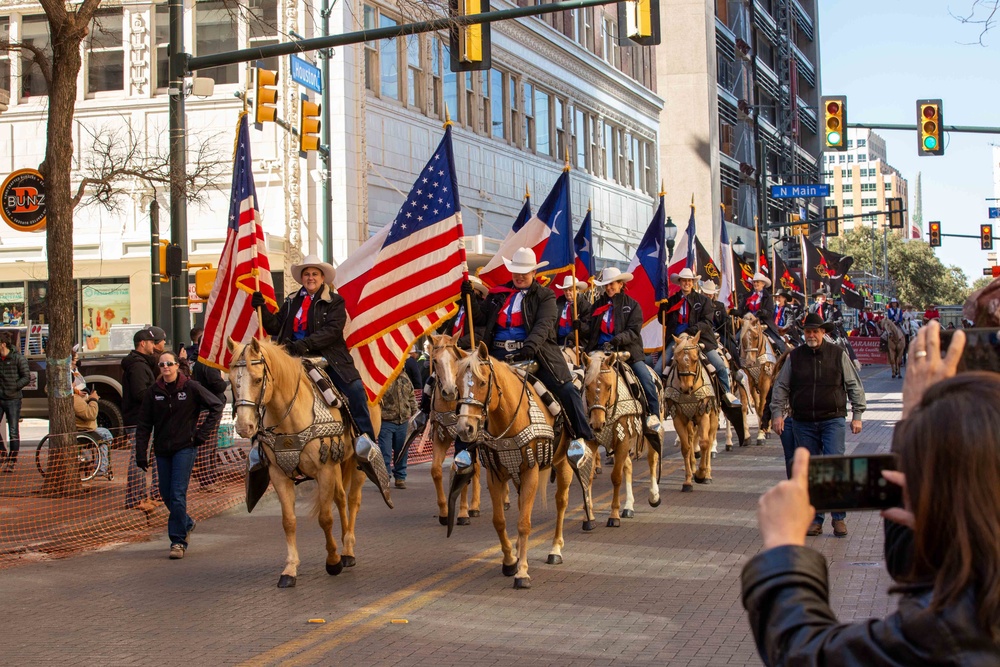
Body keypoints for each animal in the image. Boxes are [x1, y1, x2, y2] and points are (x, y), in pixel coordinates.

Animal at [229, 340, 380, 588]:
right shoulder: (279, 475)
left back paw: (348, 551)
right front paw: (290, 569)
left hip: (355, 464)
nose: (244, 427)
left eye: (258, 379)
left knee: (352, 499)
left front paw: (333, 561)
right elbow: (289, 521)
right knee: (340, 499)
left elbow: (325, 518)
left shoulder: (324, 470)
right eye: (232, 381)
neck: (289, 416)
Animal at [456, 344, 580, 588]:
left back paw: (555, 550)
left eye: (482, 383)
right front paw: (509, 561)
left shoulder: (531, 471)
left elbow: (524, 523)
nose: (465, 428)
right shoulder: (495, 475)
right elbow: (499, 521)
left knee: (561, 503)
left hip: (563, 465)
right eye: (457, 384)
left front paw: (522, 573)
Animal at [584, 350, 660, 528]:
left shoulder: (623, 440)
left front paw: (613, 516)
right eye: (586, 386)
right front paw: (589, 518)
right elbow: (589, 478)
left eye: (609, 386)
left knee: (652, 460)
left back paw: (654, 496)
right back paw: (629, 507)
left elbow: (616, 477)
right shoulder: (593, 442)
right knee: (629, 467)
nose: (596, 423)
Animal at [664, 332, 720, 490]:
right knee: (690, 440)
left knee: (710, 440)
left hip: (713, 417)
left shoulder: (703, 414)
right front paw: (688, 480)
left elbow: (704, 443)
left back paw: (707, 475)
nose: (686, 388)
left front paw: (701, 475)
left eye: (695, 359)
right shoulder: (678, 417)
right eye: (676, 360)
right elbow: (686, 447)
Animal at [740, 316, 776, 446]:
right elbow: (747, 407)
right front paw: (747, 437)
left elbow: (762, 408)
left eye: (755, 337)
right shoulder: (748, 382)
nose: (750, 362)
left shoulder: (765, 382)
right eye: (742, 339)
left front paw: (761, 435)